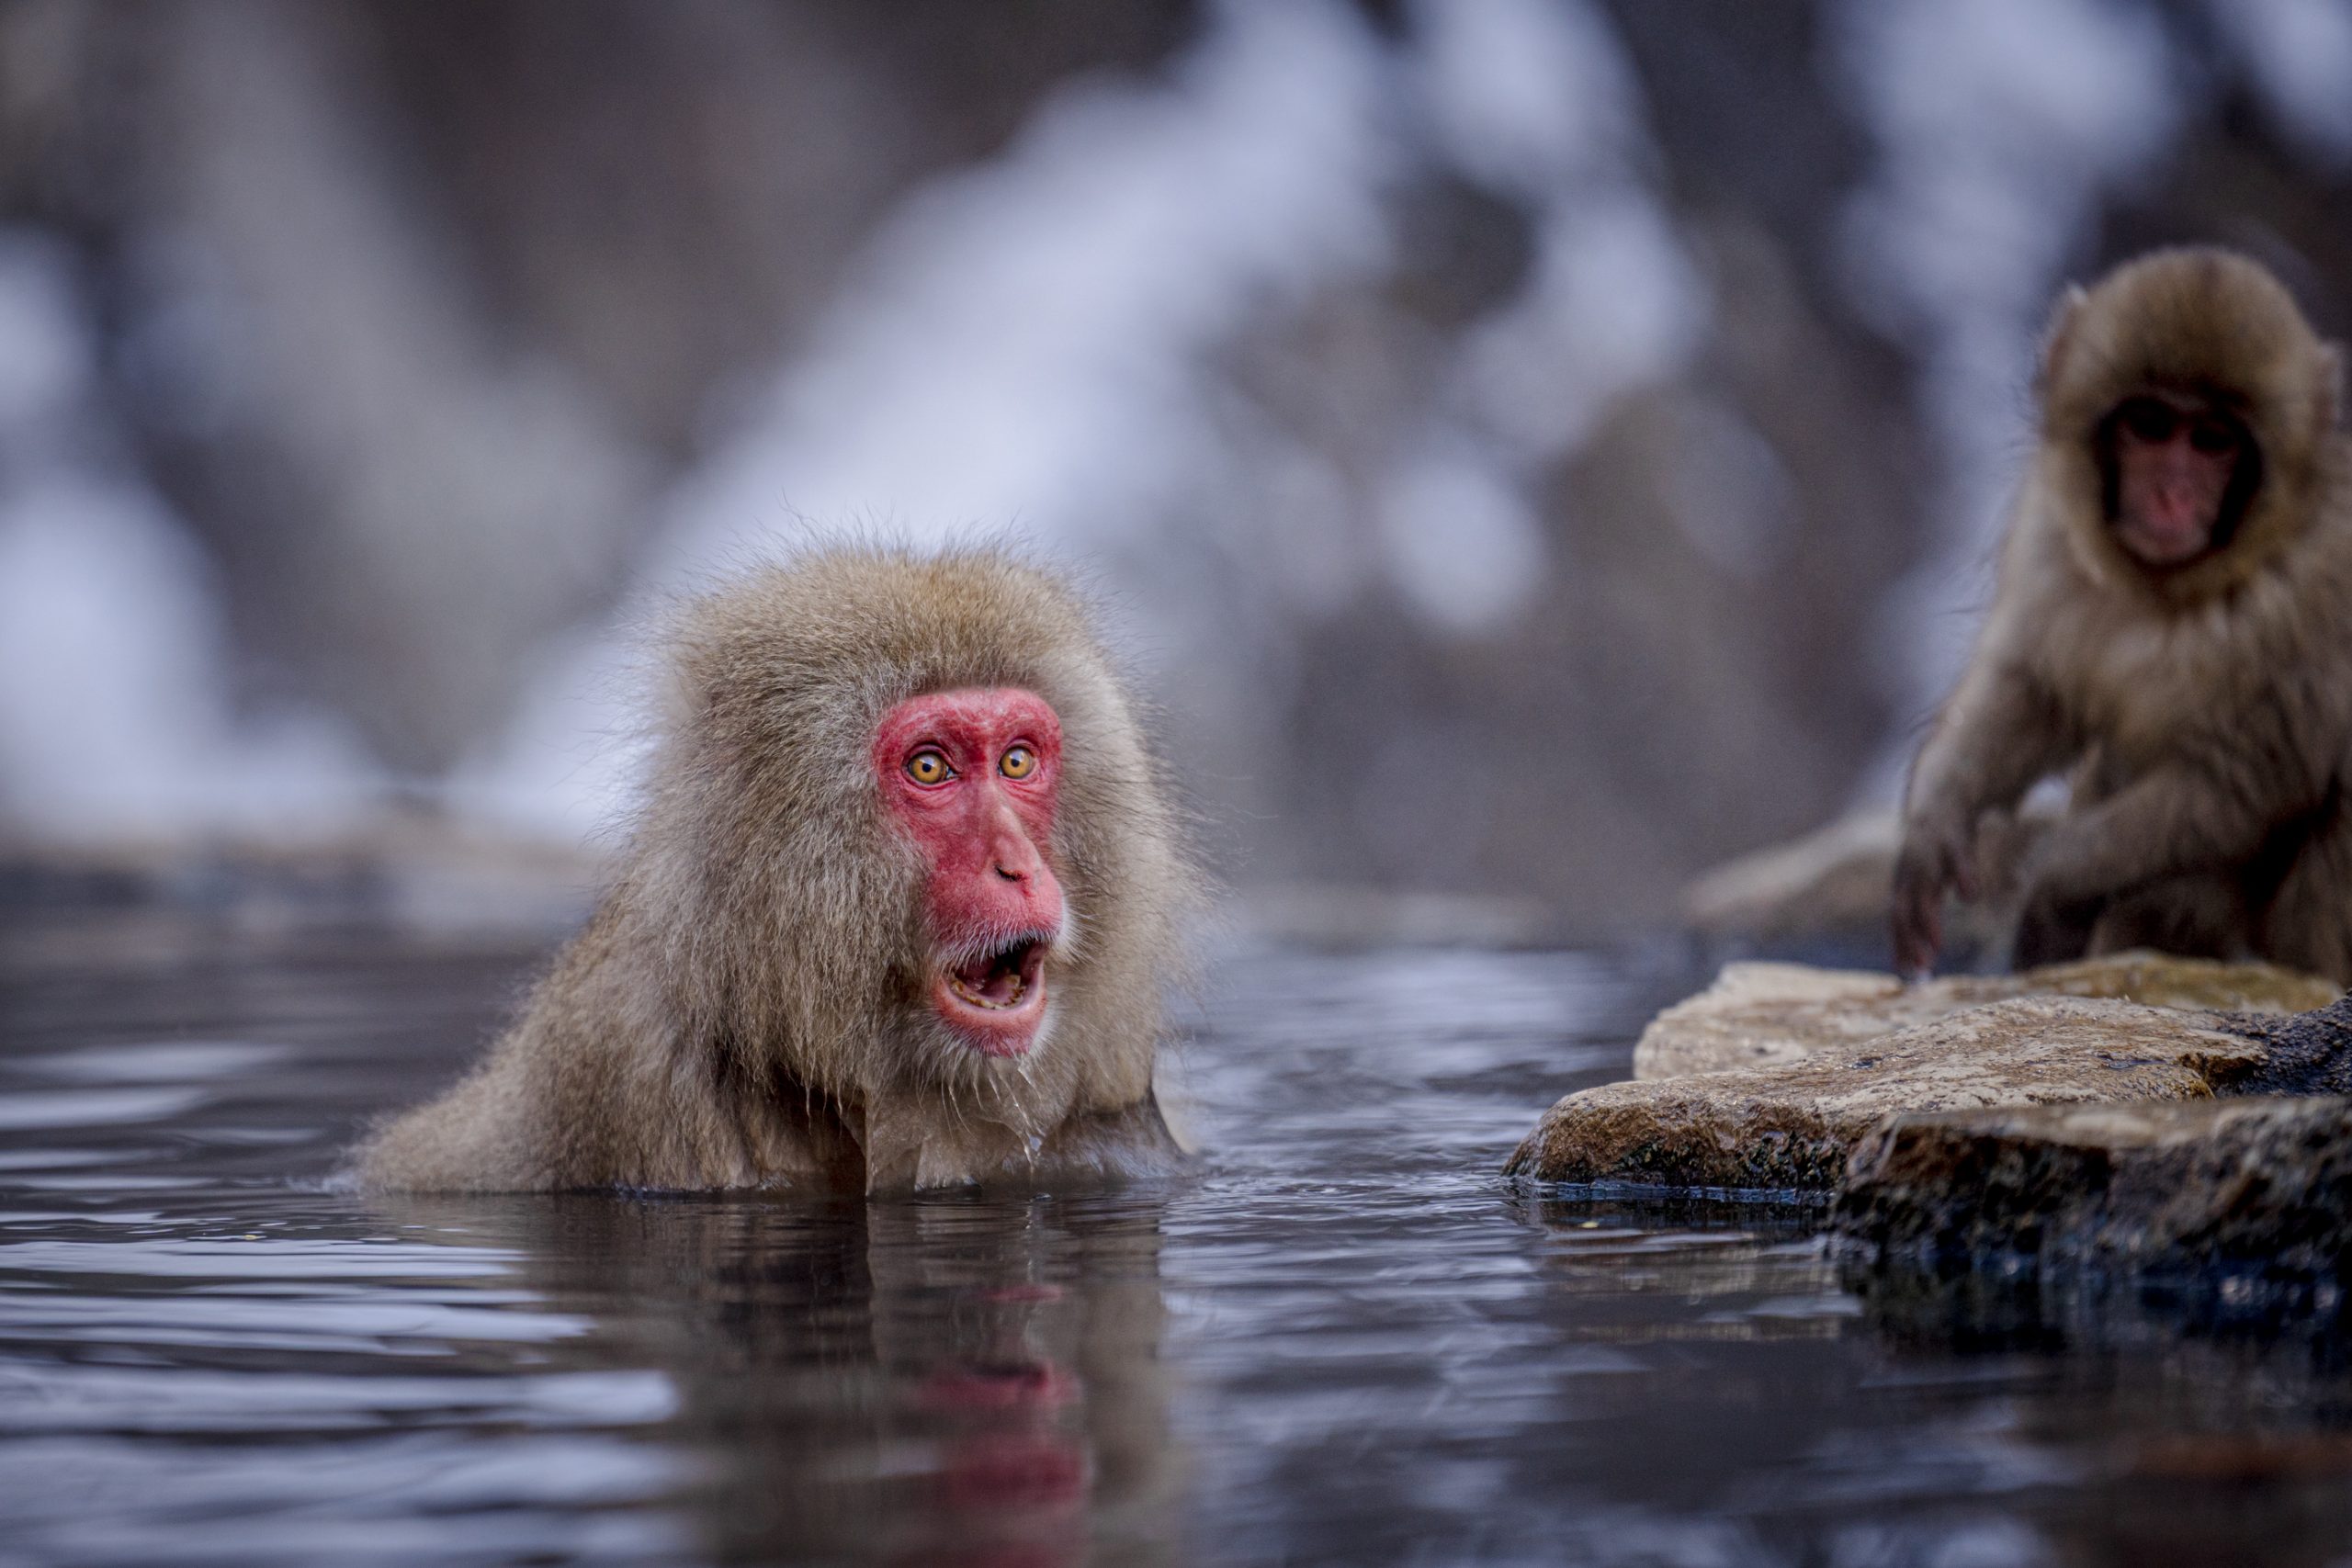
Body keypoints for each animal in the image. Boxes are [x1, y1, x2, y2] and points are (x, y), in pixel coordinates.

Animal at [1893, 247, 2352, 986]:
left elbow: (2246, 778)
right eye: (2151, 426)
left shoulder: (2319, 591)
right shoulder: (2051, 532)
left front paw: (2050, 884)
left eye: (2213, 440)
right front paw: (1935, 826)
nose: (2170, 497)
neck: (2169, 591)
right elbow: (2032, 690)